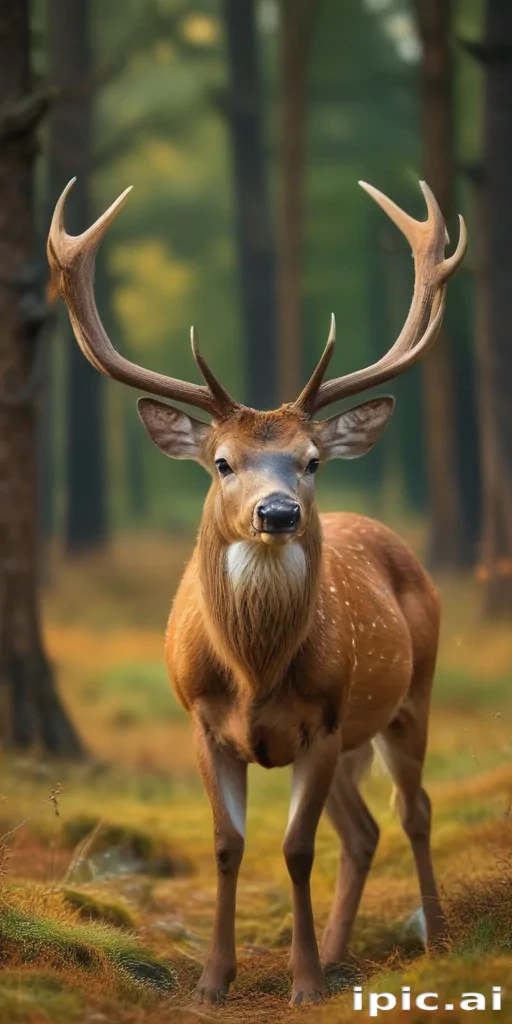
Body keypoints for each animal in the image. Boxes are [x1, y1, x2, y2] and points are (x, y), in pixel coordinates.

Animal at [48, 177, 466, 1006]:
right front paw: (215, 978)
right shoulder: (201, 720)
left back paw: (430, 937)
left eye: (311, 460)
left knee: (414, 811)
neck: (253, 673)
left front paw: (302, 982)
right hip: (358, 735)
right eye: (221, 462)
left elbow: (297, 848)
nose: (279, 512)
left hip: (410, 695)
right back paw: (339, 951)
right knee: (363, 830)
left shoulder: (324, 721)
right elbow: (226, 843)